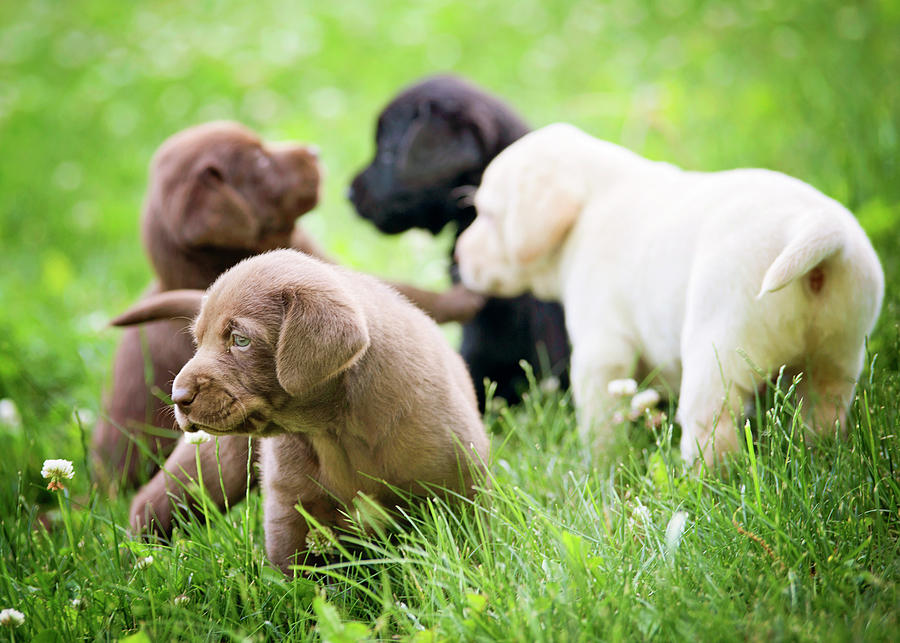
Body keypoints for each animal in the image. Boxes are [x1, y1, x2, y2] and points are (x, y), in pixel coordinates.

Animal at [128, 250, 486, 572]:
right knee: (152, 501)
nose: (178, 397)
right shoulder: (290, 505)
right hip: (211, 467)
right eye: (198, 341)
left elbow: (470, 543)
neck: (335, 429)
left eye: (240, 340)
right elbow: (295, 576)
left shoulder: (461, 486)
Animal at [458, 123, 884, 466]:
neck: (590, 207)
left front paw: (598, 465)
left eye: (489, 216)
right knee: (823, 415)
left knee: (713, 431)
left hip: (717, 354)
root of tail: (815, 225)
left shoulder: (601, 351)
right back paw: (820, 459)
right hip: (837, 359)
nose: (459, 254)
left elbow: (600, 423)